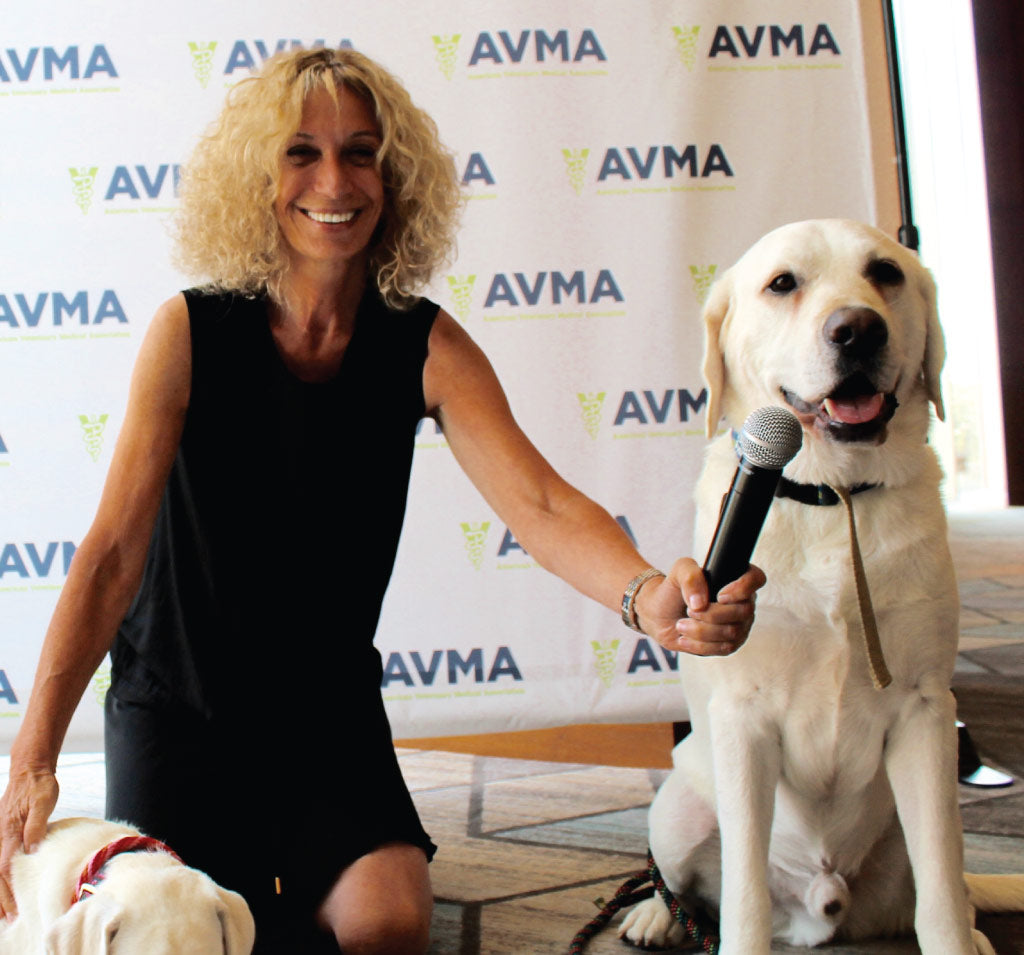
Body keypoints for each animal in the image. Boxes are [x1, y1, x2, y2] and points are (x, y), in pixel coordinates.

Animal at [619, 219, 1024, 954]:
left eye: (885, 272)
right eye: (783, 283)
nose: (857, 330)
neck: (832, 495)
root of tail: (821, 905)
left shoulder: (926, 712)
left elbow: (941, 888)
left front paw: (957, 938)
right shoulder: (743, 720)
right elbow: (744, 896)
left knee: (945, 881)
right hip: (680, 800)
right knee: (678, 876)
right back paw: (656, 915)